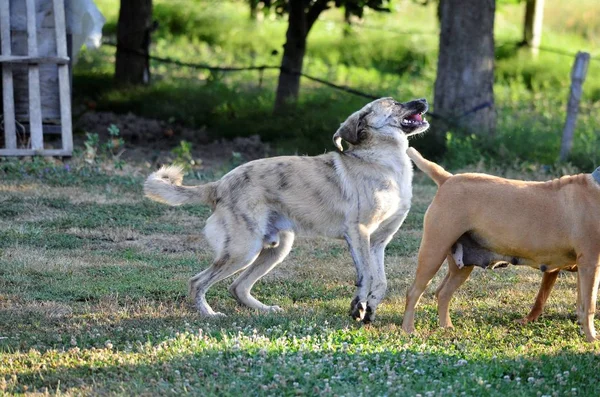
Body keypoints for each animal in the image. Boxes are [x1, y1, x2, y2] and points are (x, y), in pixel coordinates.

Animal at [400, 148, 600, 340]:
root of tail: (447, 179)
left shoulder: (584, 268)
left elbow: (582, 304)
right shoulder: (590, 264)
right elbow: (589, 305)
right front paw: (592, 338)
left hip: (460, 265)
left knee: (443, 293)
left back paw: (446, 327)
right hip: (433, 252)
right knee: (414, 292)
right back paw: (408, 329)